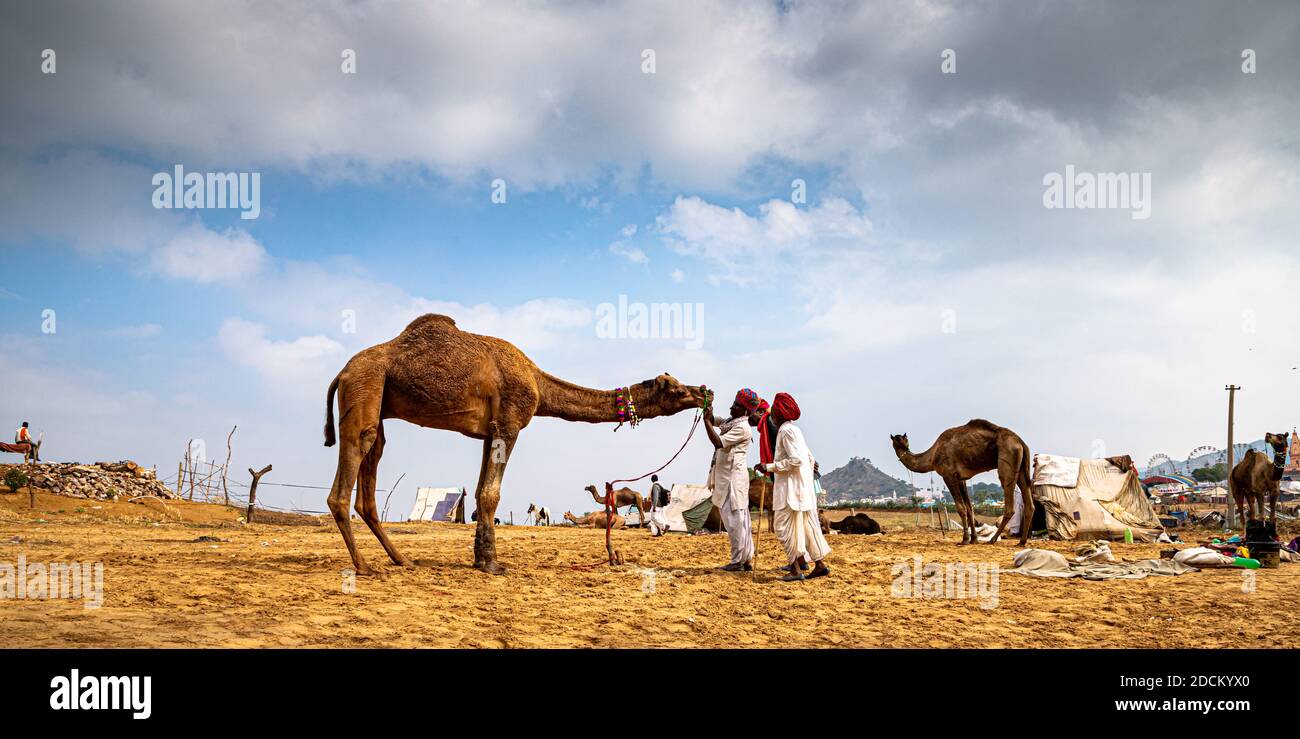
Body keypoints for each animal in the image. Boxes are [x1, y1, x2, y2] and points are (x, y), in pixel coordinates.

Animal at [323, 313, 706, 575]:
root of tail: (341, 372)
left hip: (376, 398)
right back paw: (363, 566)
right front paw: (494, 564)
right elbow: (491, 494)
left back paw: (401, 559)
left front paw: (481, 560)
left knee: (373, 461)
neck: (536, 379)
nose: (705, 391)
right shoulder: (509, 423)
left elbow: (482, 491)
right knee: (353, 458)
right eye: (676, 390)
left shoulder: (490, 431)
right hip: (365, 384)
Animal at [890, 419, 1034, 546]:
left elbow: (961, 508)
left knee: (1009, 501)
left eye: (900, 439)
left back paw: (993, 539)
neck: (932, 456)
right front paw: (974, 539)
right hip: (1021, 467)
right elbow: (969, 508)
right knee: (1029, 502)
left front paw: (964, 540)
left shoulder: (949, 476)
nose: (903, 444)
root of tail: (1021, 442)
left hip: (1008, 457)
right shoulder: (961, 479)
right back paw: (1021, 542)